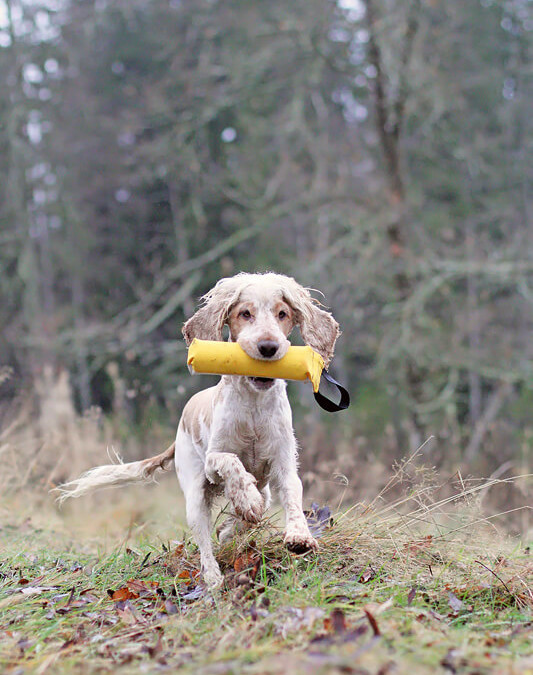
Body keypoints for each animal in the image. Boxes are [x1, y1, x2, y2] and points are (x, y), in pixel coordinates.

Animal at [59, 272, 340, 588]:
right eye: (245, 313)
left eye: (283, 314)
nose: (268, 346)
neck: (253, 407)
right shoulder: (213, 461)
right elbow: (232, 463)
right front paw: (246, 500)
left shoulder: (283, 463)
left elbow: (291, 496)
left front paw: (299, 536)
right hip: (194, 495)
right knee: (205, 541)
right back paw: (214, 578)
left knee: (258, 505)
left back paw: (233, 527)